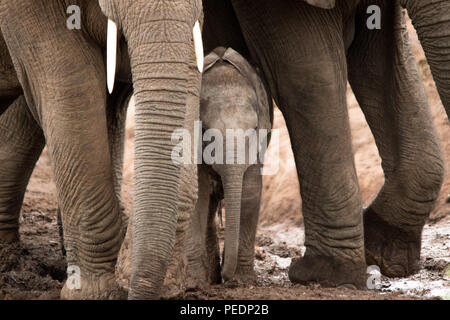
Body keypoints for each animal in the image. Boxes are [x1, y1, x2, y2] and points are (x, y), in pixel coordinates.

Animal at [187, 46, 272, 286]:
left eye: (255, 128)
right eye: (204, 129)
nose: (227, 277)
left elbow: (251, 190)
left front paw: (243, 282)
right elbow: (199, 192)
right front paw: (194, 283)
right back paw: (211, 277)